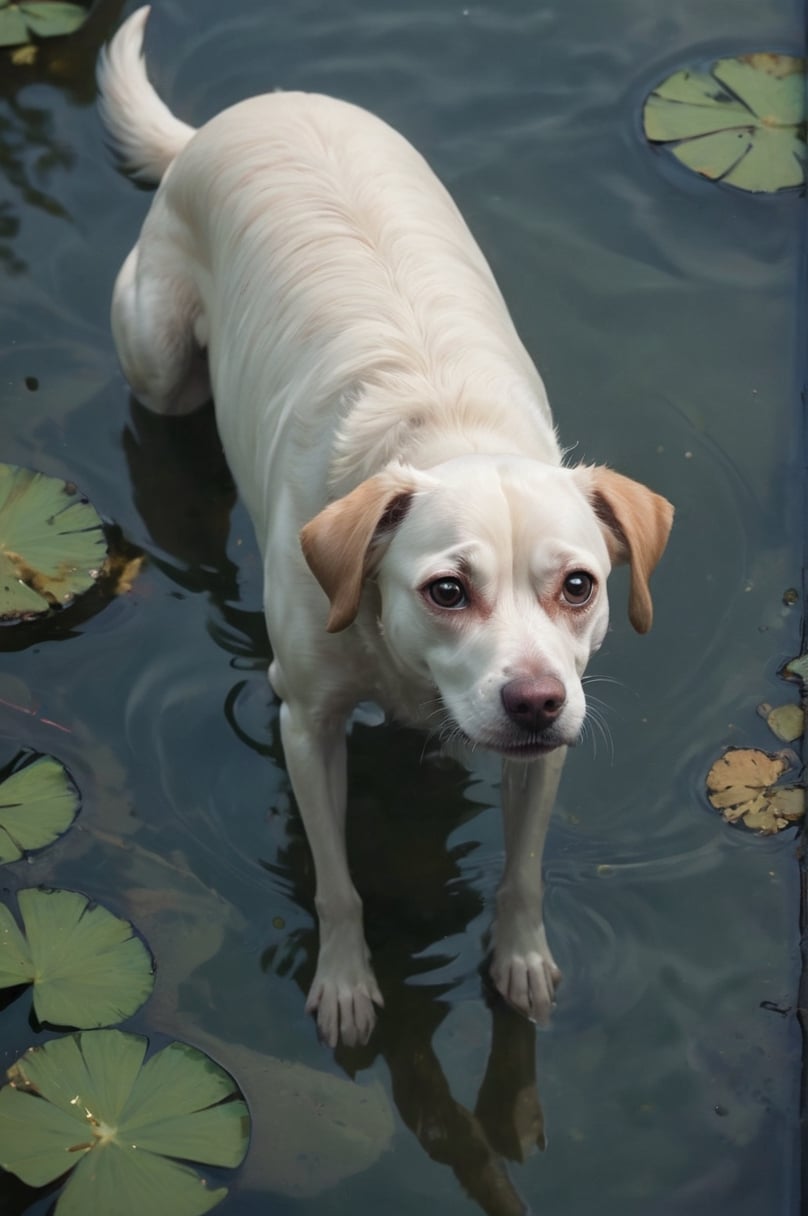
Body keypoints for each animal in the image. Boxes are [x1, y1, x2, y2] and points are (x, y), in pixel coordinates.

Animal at [97, 7, 671, 1045]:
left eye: (579, 586)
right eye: (446, 589)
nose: (536, 701)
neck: (445, 427)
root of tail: (234, 117)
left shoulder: (541, 757)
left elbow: (523, 871)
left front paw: (519, 960)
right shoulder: (305, 724)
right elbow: (338, 884)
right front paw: (348, 982)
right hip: (159, 363)